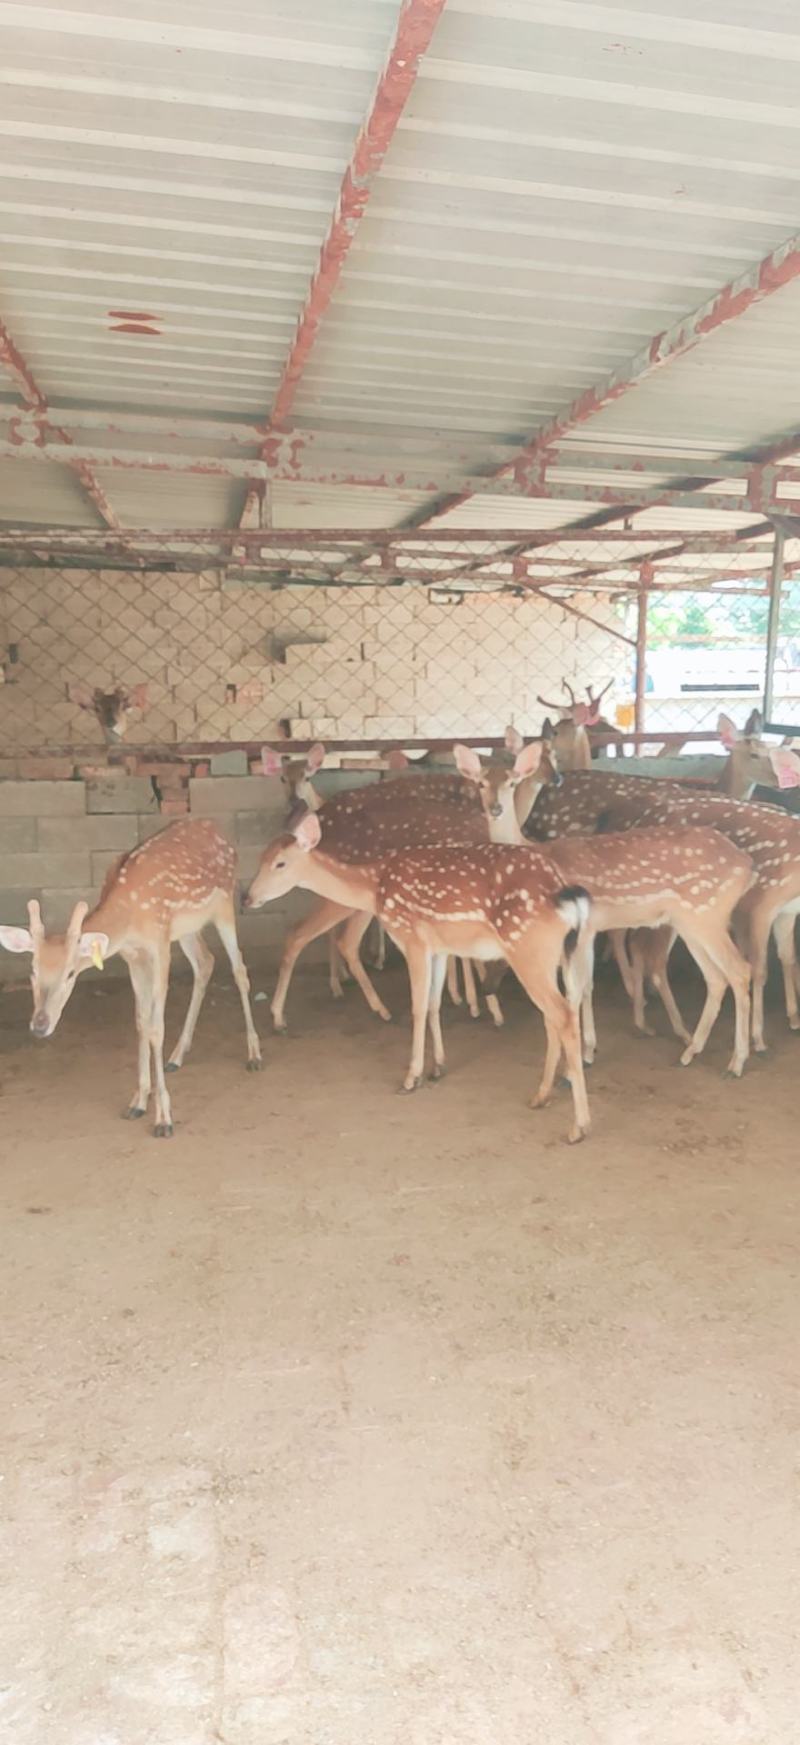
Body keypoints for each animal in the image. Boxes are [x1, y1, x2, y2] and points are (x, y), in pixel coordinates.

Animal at [0, 819, 262, 1136]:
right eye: (33, 969)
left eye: (70, 973)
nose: (39, 1025)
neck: (129, 917)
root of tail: (218, 830)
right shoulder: (132, 957)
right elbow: (141, 1022)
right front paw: (138, 1101)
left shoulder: (159, 946)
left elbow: (156, 1028)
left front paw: (163, 1118)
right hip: (186, 928)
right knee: (205, 962)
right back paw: (177, 1056)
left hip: (224, 903)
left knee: (239, 970)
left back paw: (254, 1055)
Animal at [245, 808, 593, 1143]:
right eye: (260, 857)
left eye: (280, 863)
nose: (247, 898)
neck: (374, 883)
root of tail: (565, 894)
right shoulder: (436, 947)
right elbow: (433, 1004)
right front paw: (438, 1066)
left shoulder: (411, 936)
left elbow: (416, 1007)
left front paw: (411, 1077)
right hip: (556, 955)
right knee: (555, 1014)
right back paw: (541, 1096)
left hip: (526, 948)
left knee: (562, 1015)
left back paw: (578, 1126)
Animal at [454, 746, 754, 1074]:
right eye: (481, 782)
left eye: (511, 782)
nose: (494, 808)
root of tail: (746, 866)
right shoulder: (587, 932)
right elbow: (586, 986)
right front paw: (588, 1050)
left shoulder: (579, 931)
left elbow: (576, 989)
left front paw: (574, 1062)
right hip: (691, 921)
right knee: (716, 977)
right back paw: (690, 1052)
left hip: (706, 914)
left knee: (739, 971)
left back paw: (737, 1061)